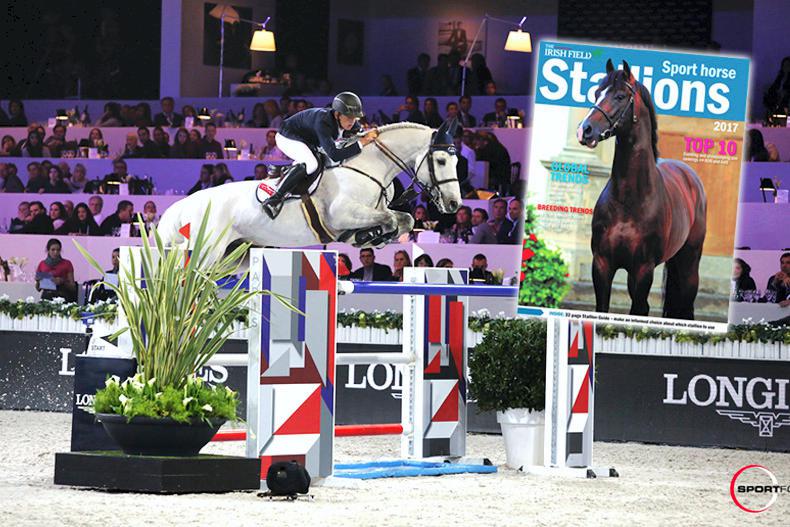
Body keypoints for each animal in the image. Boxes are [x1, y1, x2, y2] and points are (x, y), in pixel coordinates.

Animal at [157, 120, 462, 264]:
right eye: (441, 161)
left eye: (457, 160)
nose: (453, 204)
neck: (368, 166)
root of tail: (184, 205)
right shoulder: (342, 215)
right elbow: (388, 219)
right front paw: (371, 235)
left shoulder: (372, 212)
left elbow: (405, 220)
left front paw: (374, 237)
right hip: (207, 250)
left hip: (236, 254)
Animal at [577, 60, 707, 320]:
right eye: (597, 93)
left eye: (619, 96)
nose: (585, 130)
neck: (629, 201)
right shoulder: (602, 266)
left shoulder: (643, 270)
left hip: (689, 264)